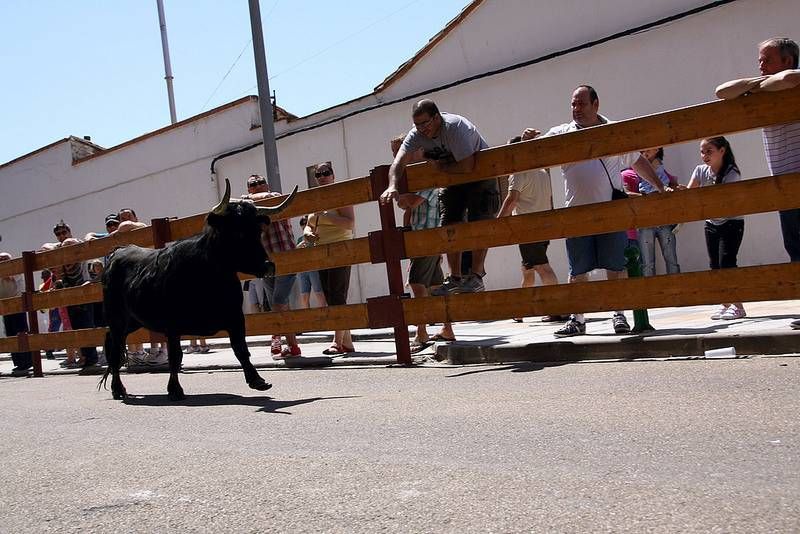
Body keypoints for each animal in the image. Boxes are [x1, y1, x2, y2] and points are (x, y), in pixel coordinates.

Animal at [99, 181, 296, 402]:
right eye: (236, 232)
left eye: (257, 231)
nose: (267, 266)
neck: (209, 274)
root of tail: (119, 251)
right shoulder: (172, 325)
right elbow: (175, 357)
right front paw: (175, 390)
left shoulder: (235, 318)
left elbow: (241, 349)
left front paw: (257, 380)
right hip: (117, 319)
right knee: (115, 349)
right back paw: (118, 389)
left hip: (132, 322)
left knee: (113, 345)